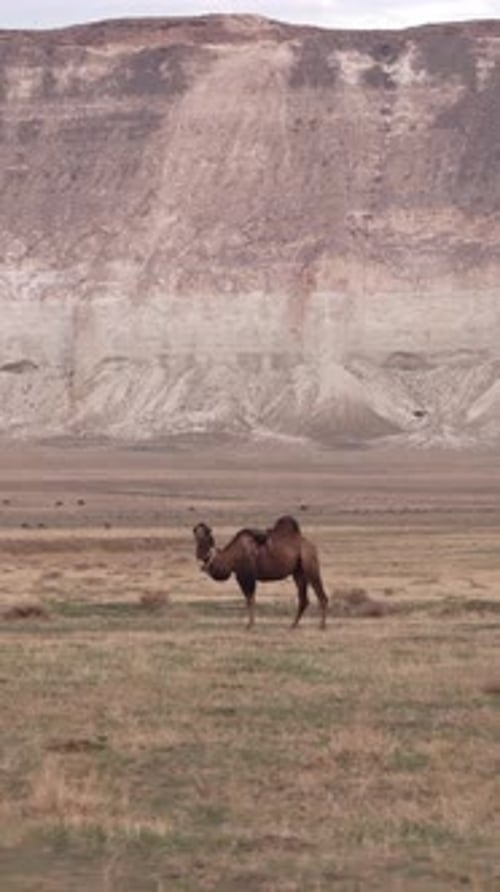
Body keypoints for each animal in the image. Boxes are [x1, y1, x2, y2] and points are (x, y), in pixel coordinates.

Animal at [193, 515, 328, 629]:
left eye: (206, 536)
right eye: (196, 536)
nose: (199, 554)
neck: (232, 556)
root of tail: (311, 545)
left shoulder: (248, 576)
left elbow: (251, 600)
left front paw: (250, 625)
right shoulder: (240, 577)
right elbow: (248, 600)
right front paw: (250, 624)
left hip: (310, 564)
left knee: (321, 595)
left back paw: (321, 626)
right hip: (298, 572)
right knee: (303, 598)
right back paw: (293, 625)